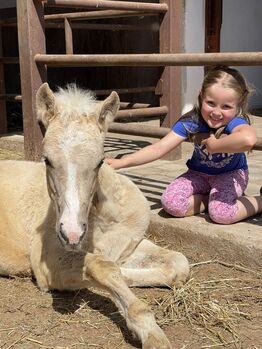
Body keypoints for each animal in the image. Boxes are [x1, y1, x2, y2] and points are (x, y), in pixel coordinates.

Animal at [0, 83, 189, 346]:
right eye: (47, 160)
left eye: (100, 161)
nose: (71, 234)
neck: (103, 220)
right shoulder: (49, 262)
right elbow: (104, 266)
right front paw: (151, 333)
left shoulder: (129, 244)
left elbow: (177, 263)